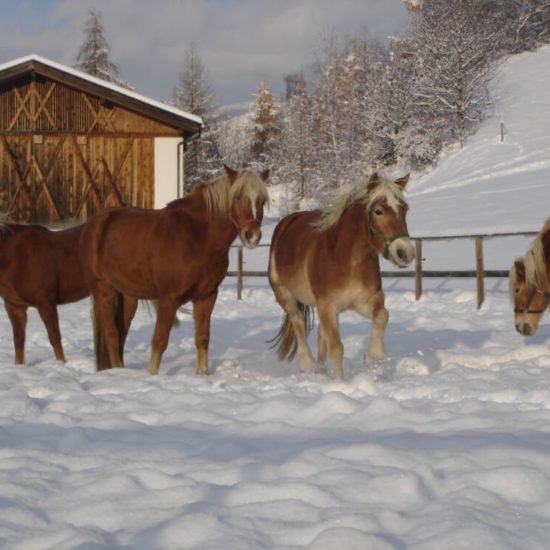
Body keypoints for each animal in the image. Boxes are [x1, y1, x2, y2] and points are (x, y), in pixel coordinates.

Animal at [81, 166, 270, 378]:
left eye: (262, 200)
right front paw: (152, 375)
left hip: (128, 294)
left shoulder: (207, 296)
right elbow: (159, 341)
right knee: (112, 334)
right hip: (103, 289)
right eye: (237, 197)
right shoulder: (169, 299)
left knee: (122, 331)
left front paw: (202, 375)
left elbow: (202, 338)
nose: (252, 235)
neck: (197, 237)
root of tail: (96, 223)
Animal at [268, 175, 414, 382]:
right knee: (299, 324)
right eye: (378, 211)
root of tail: (286, 223)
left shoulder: (366, 301)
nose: (404, 252)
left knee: (321, 335)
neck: (346, 259)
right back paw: (308, 366)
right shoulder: (328, 305)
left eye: (404, 209)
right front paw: (341, 382)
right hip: (285, 295)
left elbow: (382, 317)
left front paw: (373, 358)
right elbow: (337, 349)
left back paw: (321, 371)